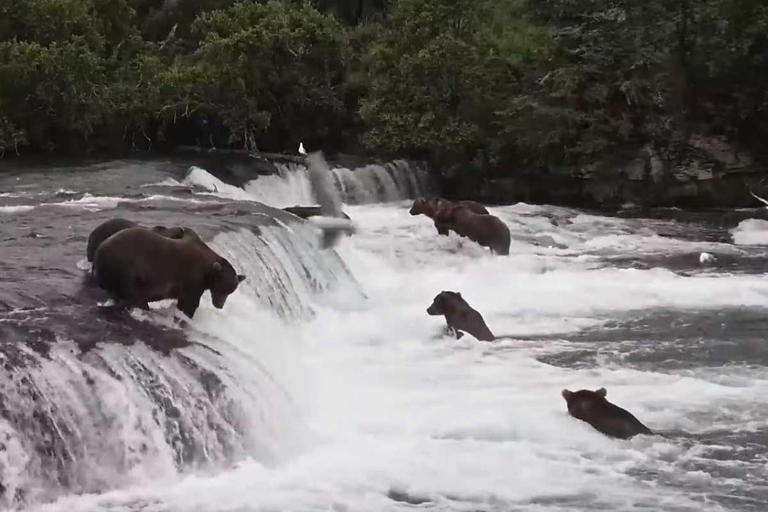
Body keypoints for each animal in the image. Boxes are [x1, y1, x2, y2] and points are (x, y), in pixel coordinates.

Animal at [92, 226, 245, 319]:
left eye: (230, 291)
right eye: (222, 288)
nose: (219, 305)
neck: (208, 272)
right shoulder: (191, 278)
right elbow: (188, 303)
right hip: (126, 267)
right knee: (133, 293)